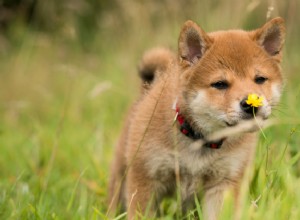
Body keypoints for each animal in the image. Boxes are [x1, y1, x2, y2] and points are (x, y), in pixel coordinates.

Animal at [108, 17, 286, 220]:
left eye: (260, 79)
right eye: (220, 84)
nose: (251, 104)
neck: (200, 140)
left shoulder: (224, 183)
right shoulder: (145, 179)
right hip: (121, 177)